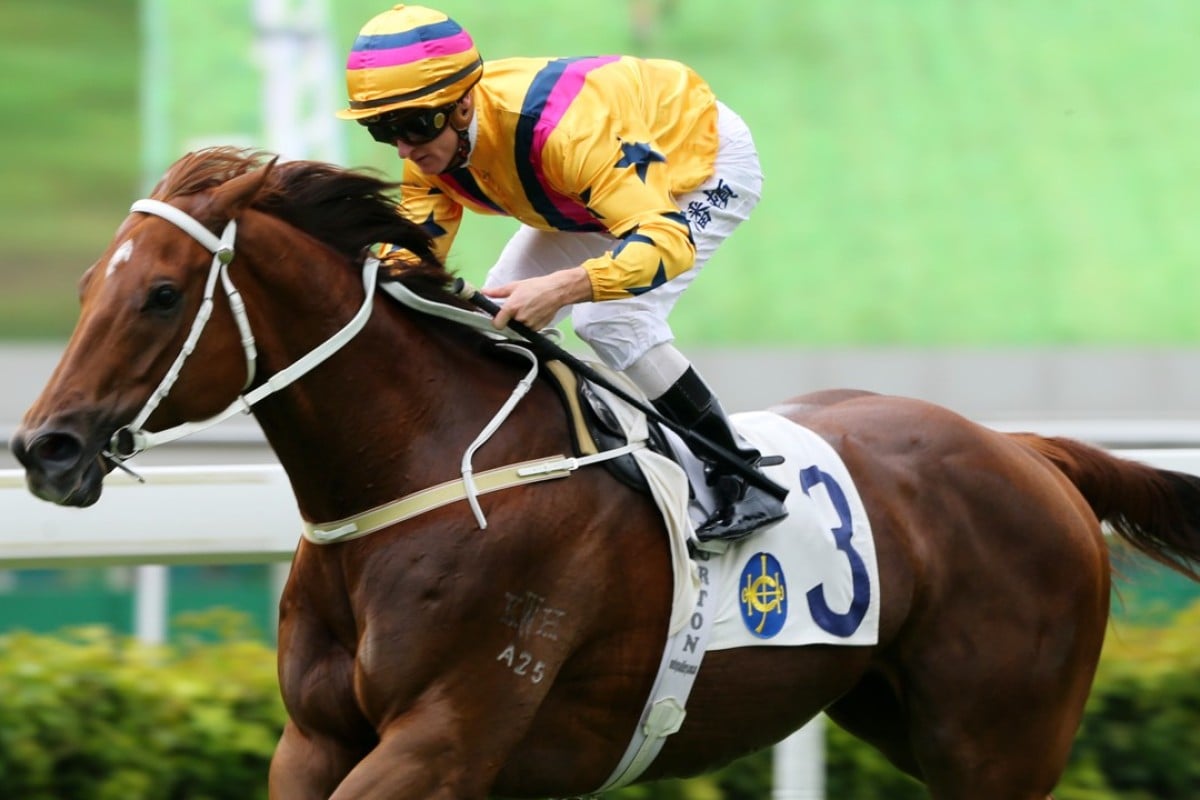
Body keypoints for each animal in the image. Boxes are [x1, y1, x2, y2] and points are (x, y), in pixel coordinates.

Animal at [14, 145, 1200, 800]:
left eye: (162, 293)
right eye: (85, 286)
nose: (43, 448)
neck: (419, 478)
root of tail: (1026, 451)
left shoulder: (446, 736)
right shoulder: (315, 740)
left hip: (998, 739)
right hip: (893, 706)